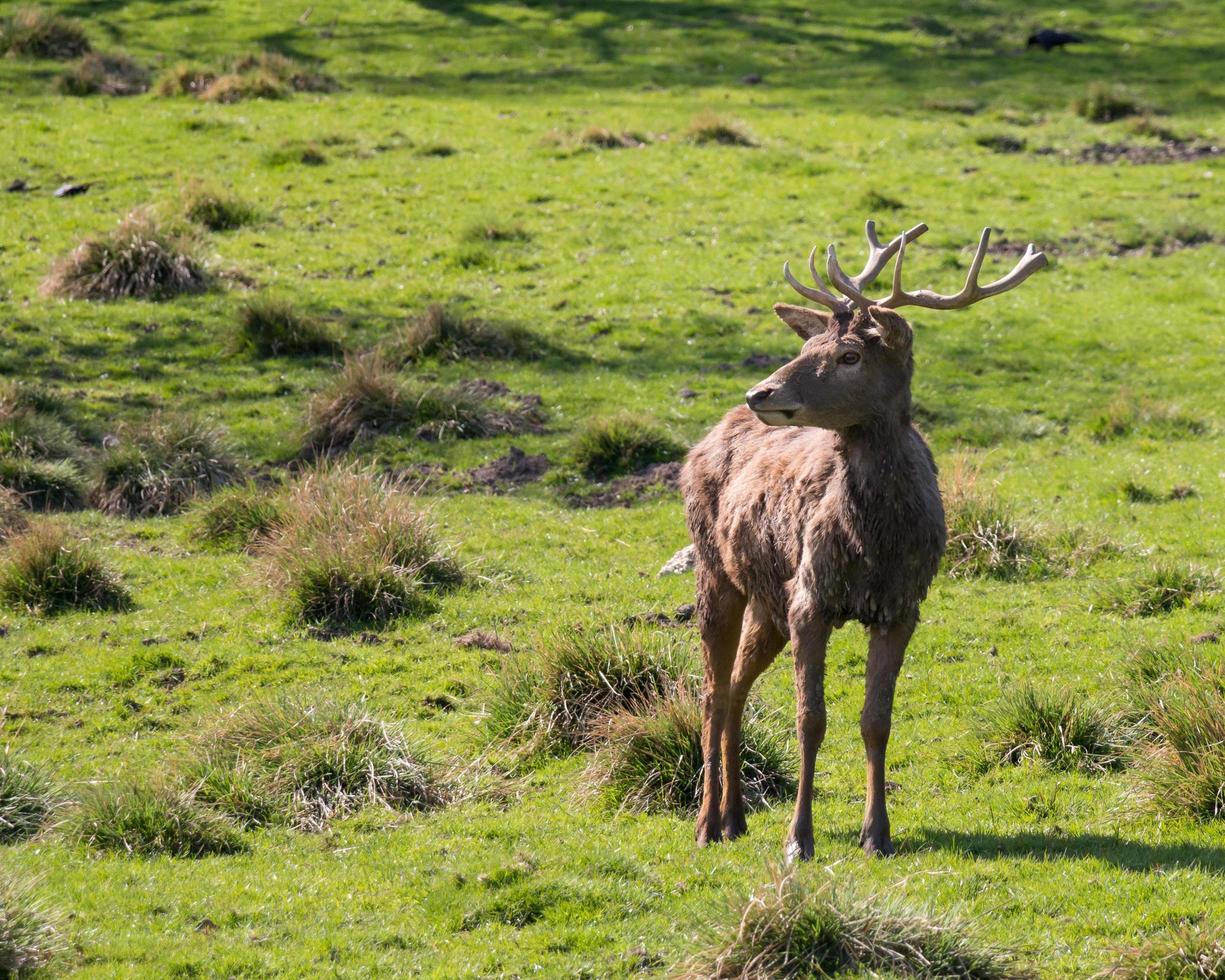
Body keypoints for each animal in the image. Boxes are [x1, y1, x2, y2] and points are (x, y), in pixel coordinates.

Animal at [681, 220, 1043, 857]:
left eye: (849, 355)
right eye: (808, 349)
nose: (761, 393)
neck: (876, 545)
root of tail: (703, 441)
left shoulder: (901, 607)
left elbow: (878, 720)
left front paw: (877, 834)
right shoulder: (811, 598)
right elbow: (810, 718)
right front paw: (799, 839)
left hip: (768, 601)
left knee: (739, 686)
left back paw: (736, 818)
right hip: (713, 567)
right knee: (712, 690)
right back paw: (706, 825)